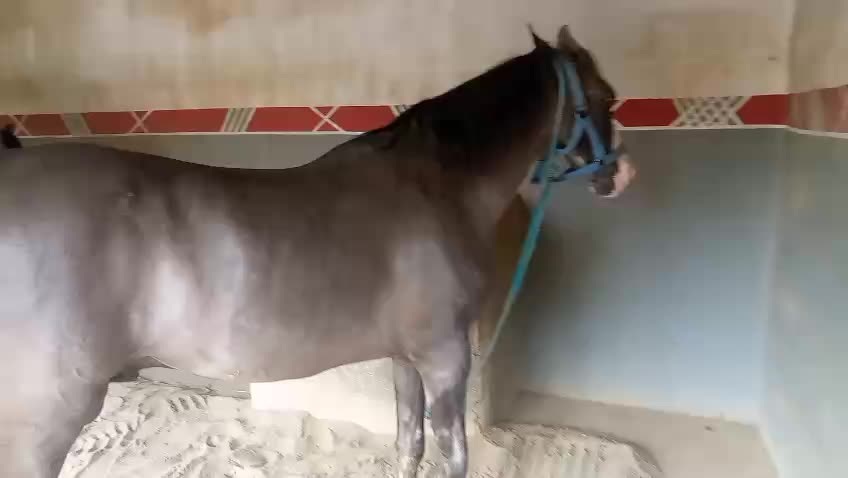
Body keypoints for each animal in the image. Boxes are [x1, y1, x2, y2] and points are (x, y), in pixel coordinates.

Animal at [0, 25, 634, 477]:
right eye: (605, 97)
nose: (620, 176)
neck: (440, 185)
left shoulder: (407, 358)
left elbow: (409, 443)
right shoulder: (446, 357)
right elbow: (453, 454)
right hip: (47, 416)